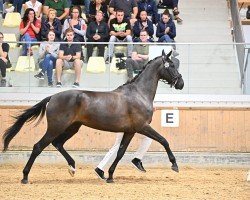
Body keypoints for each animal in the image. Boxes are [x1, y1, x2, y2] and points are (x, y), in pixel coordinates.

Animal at [1, 49, 184, 183]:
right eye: (171, 65)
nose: (181, 84)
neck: (139, 93)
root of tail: (52, 97)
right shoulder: (142, 127)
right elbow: (164, 140)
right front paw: (174, 165)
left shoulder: (130, 131)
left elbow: (120, 153)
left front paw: (110, 176)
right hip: (56, 127)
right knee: (38, 146)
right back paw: (25, 177)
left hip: (73, 127)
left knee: (58, 143)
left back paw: (72, 167)